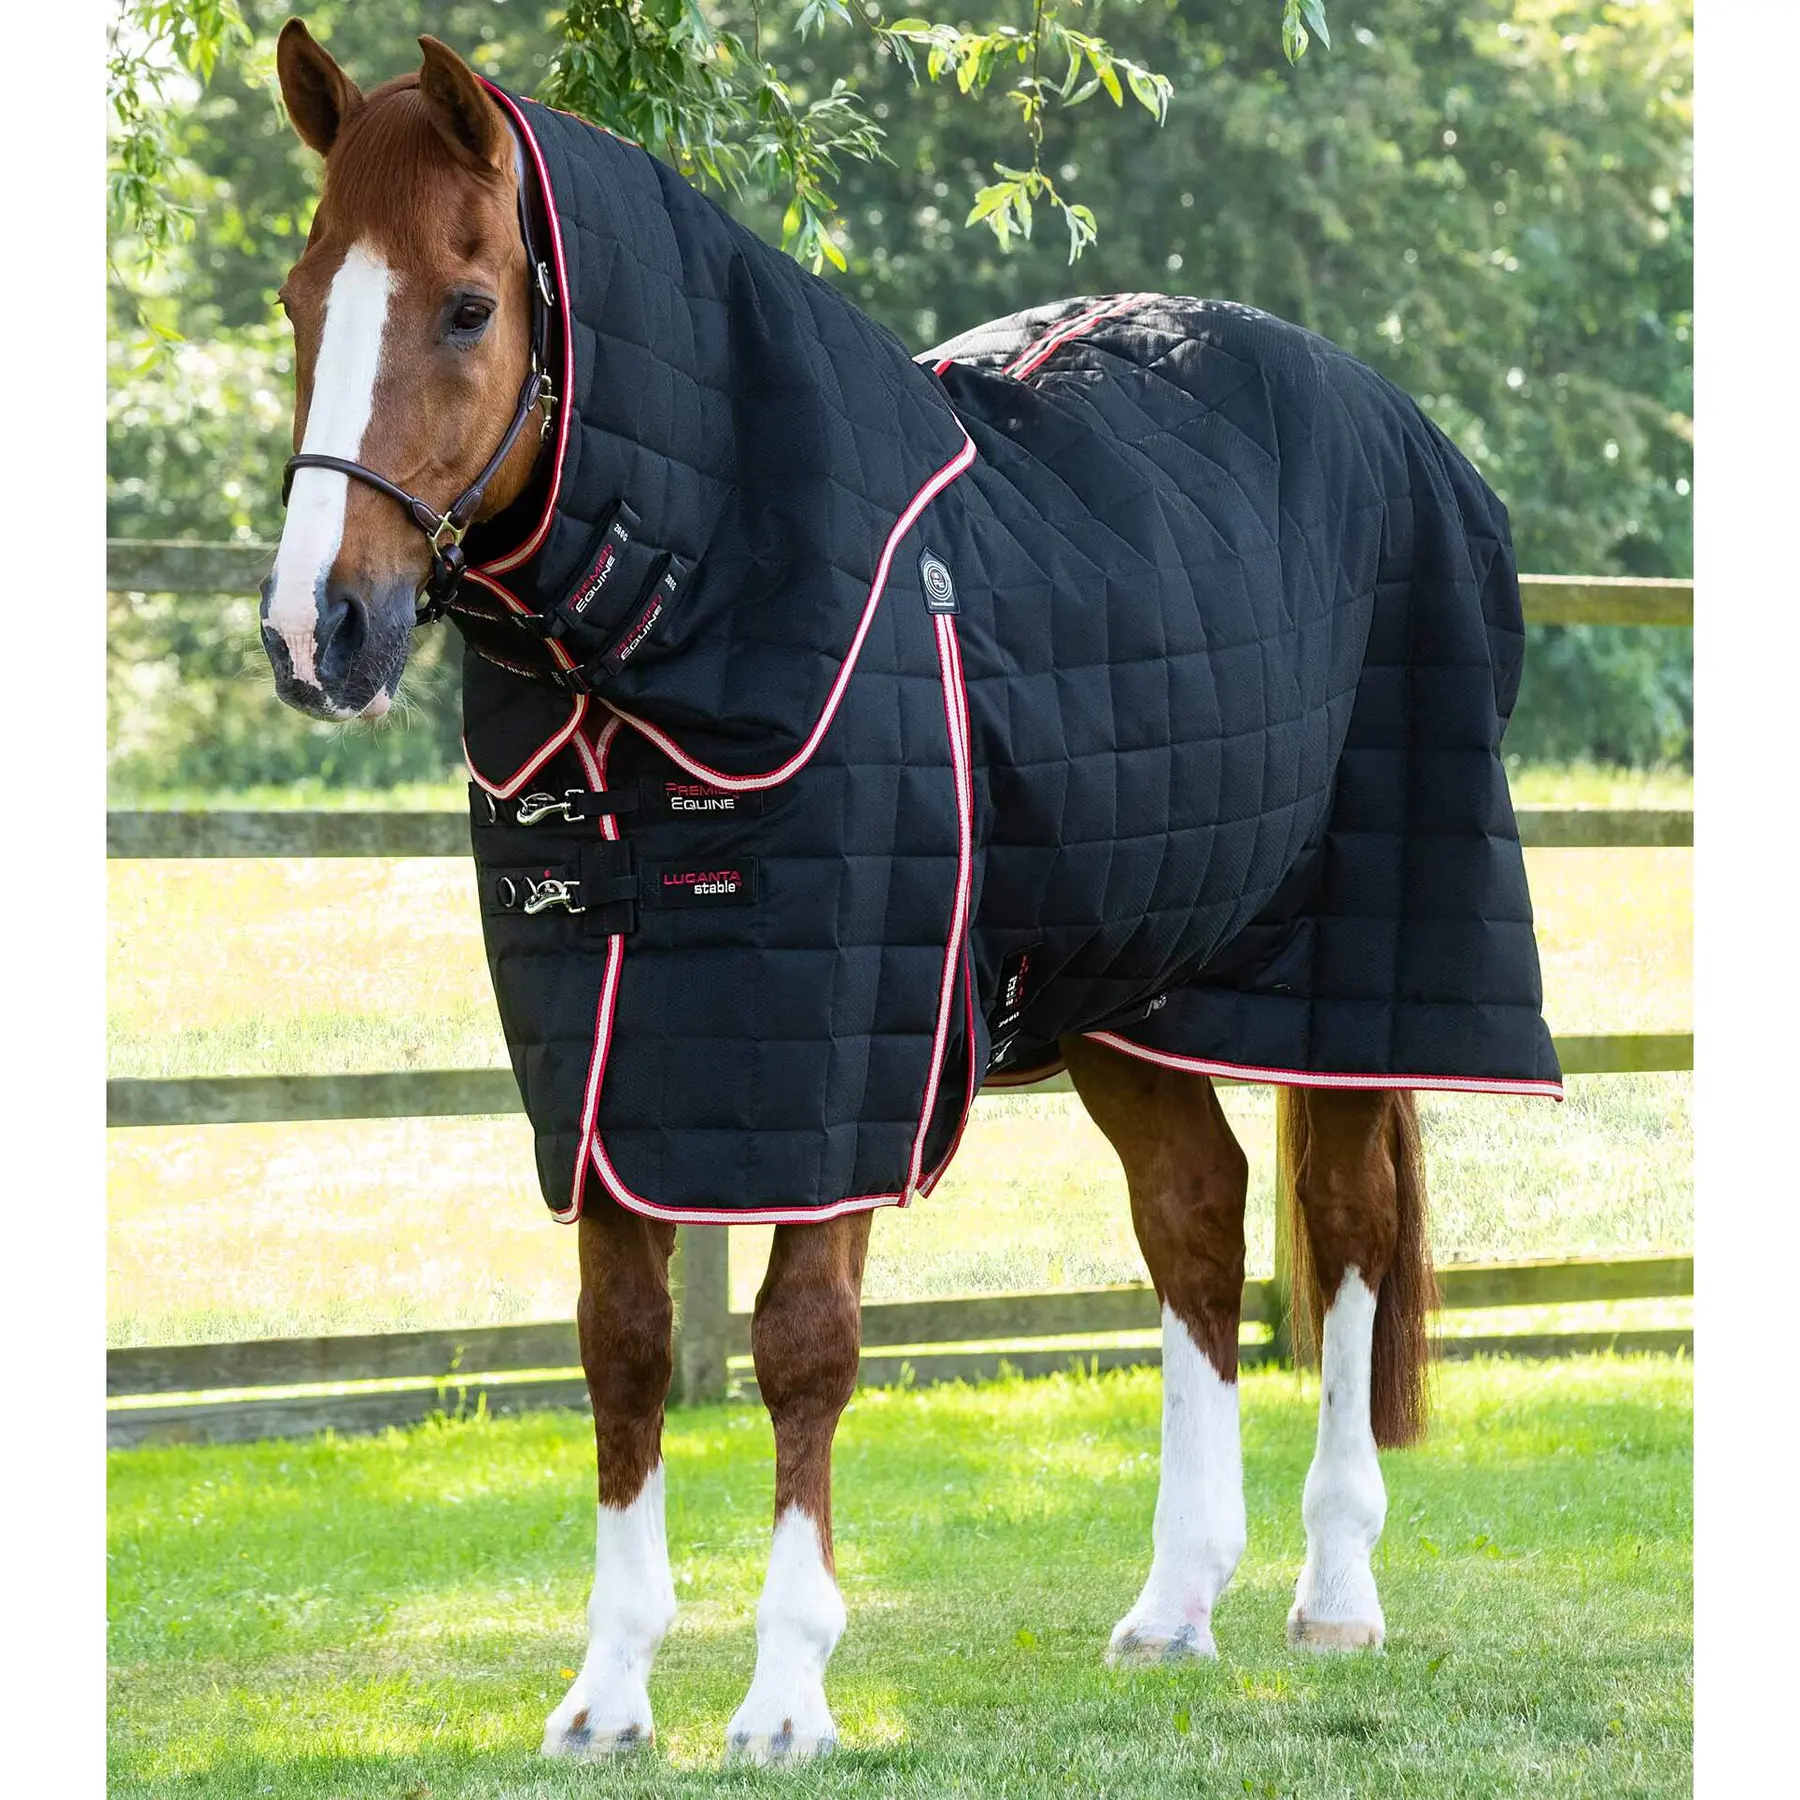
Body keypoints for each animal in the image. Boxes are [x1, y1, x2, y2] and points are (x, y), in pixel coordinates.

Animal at [259, 22, 1559, 1764]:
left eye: (469, 305)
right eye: (298, 294)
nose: (314, 630)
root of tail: (1413, 437)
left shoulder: (836, 1065)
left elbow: (802, 1349)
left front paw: (787, 1694)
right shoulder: (615, 1065)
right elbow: (624, 1352)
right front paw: (608, 1695)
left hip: (1361, 974)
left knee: (1344, 1237)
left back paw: (1334, 1594)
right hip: (1124, 992)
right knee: (1196, 1217)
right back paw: (1174, 1605)